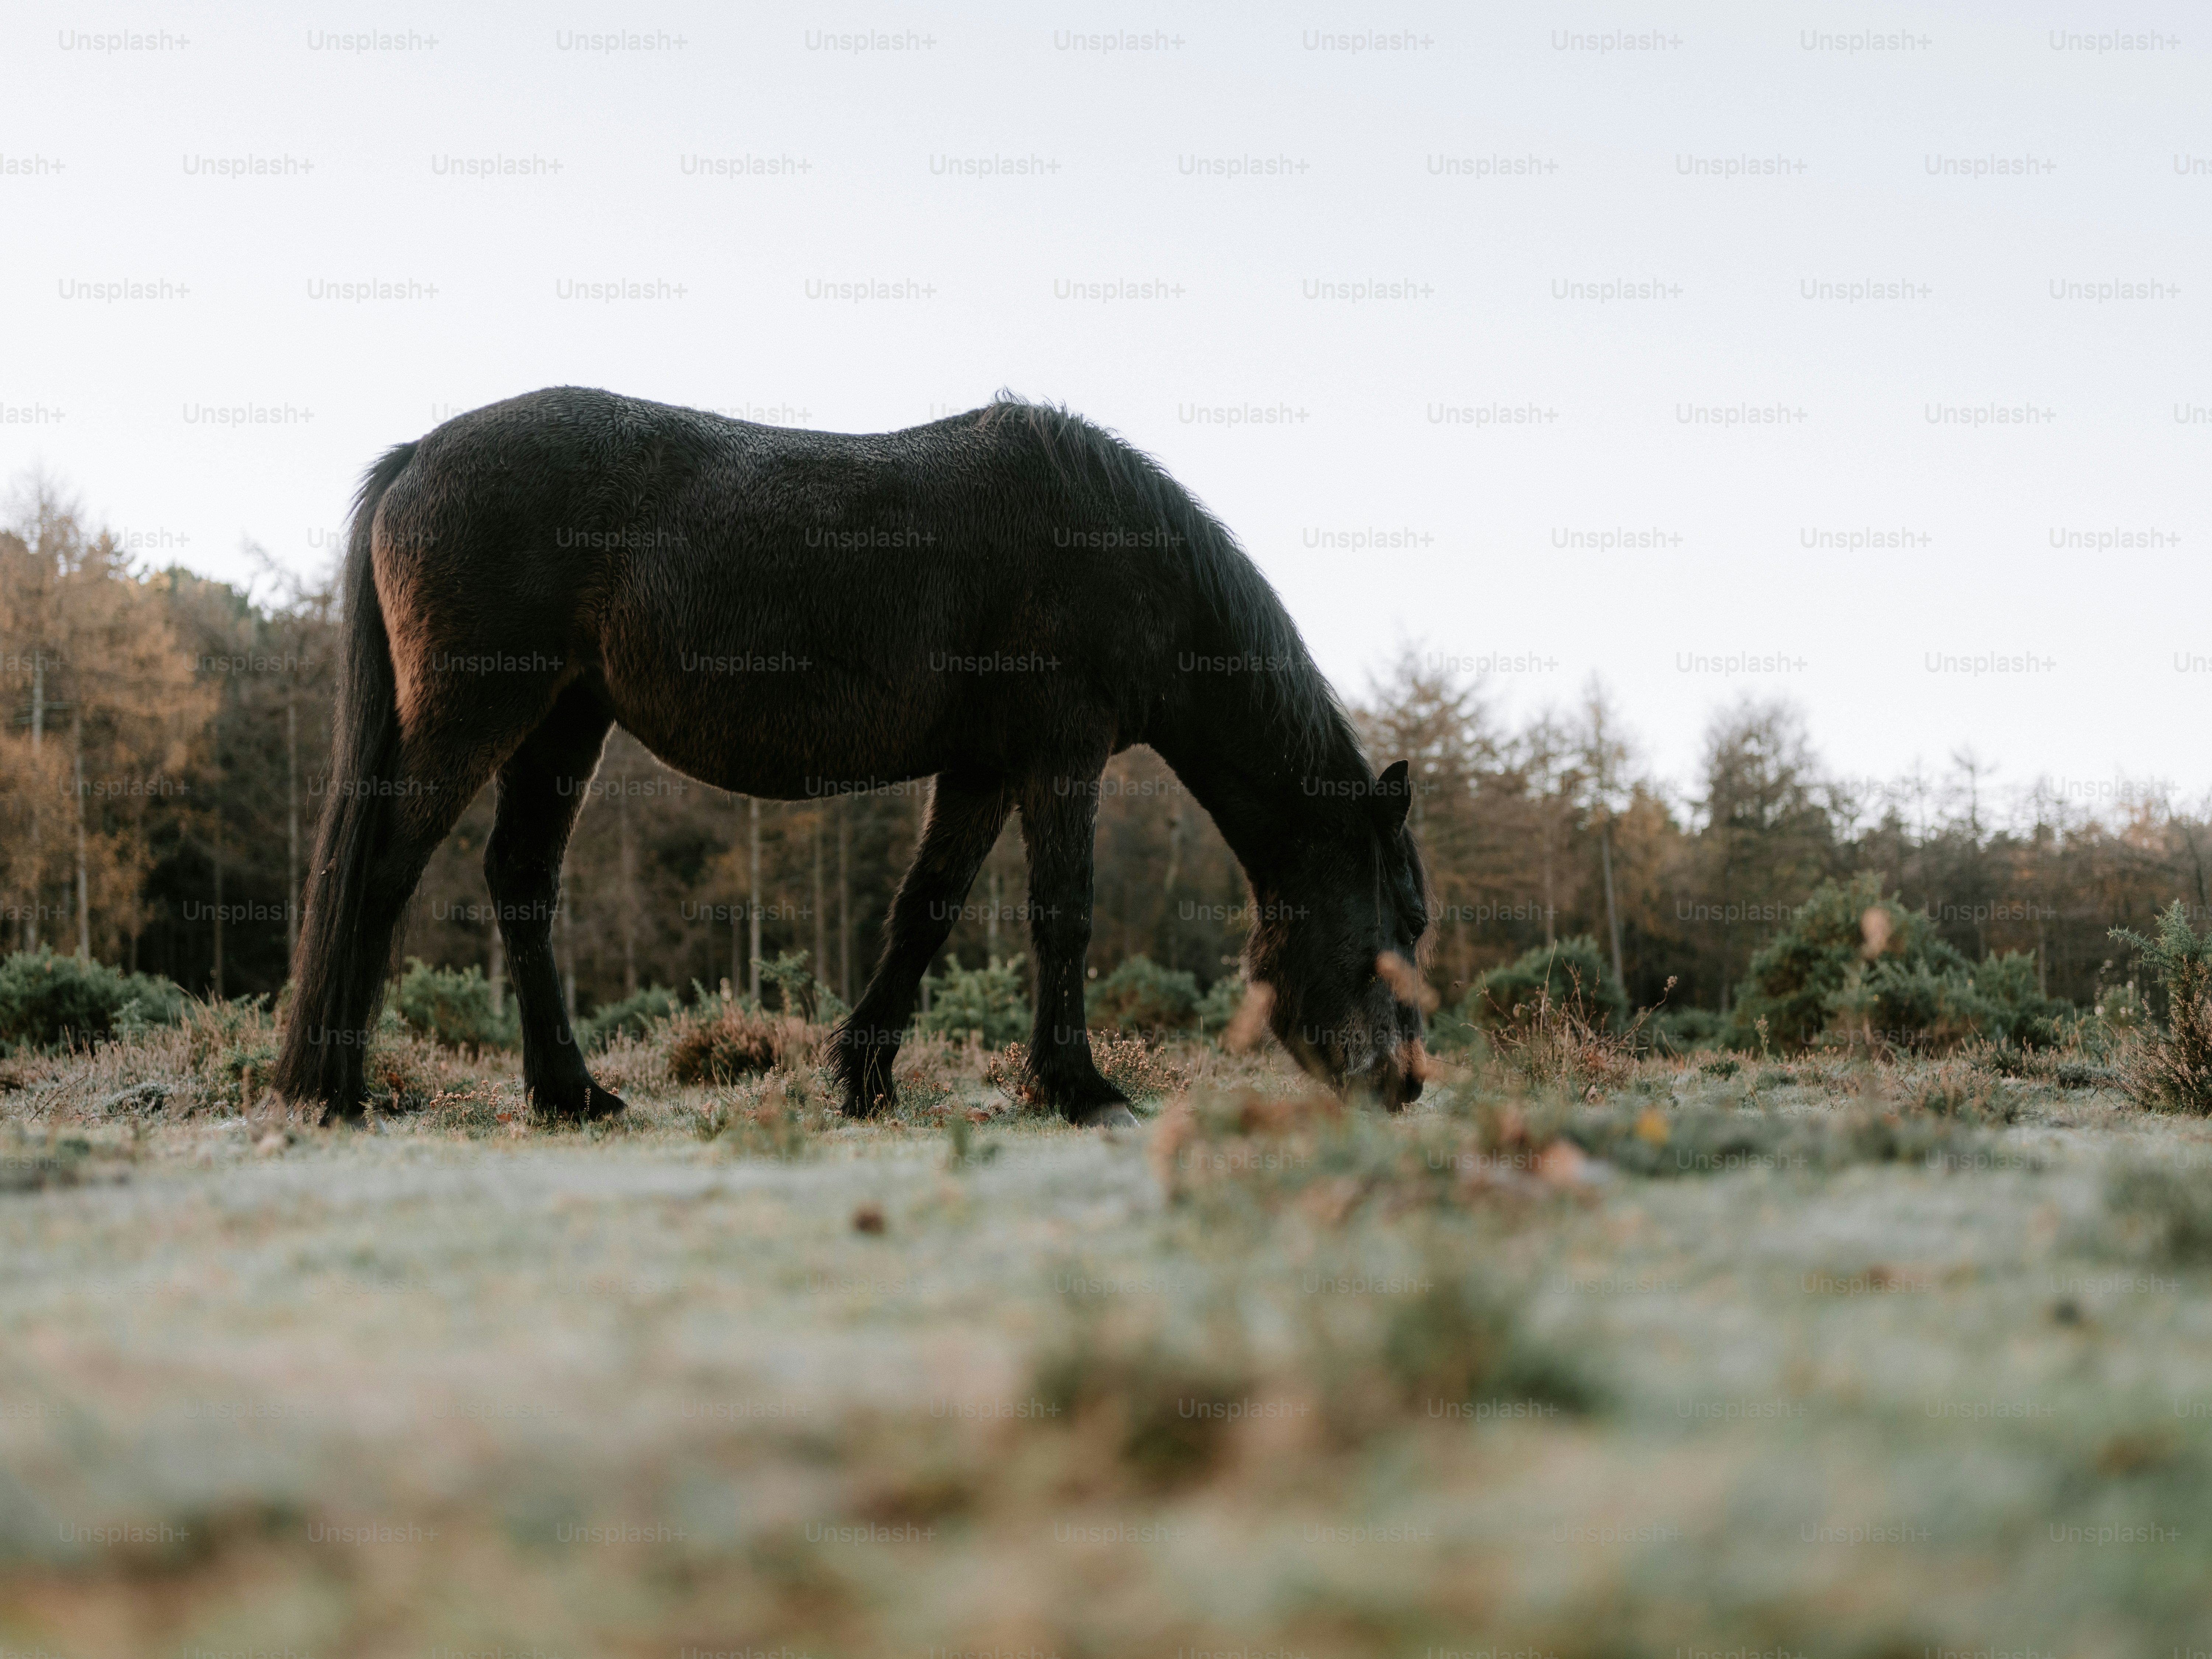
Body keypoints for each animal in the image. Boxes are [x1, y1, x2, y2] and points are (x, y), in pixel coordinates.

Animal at [271, 386, 1434, 1127]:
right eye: (1412, 920)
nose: (1409, 1082)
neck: (1115, 548)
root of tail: (416, 457)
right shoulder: (1060, 750)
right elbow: (1063, 913)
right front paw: (1080, 1088)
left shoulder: (982, 767)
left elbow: (927, 910)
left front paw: (866, 1079)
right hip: (477, 712)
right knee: (381, 871)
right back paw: (335, 1089)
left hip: (564, 720)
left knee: (520, 877)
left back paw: (572, 1094)